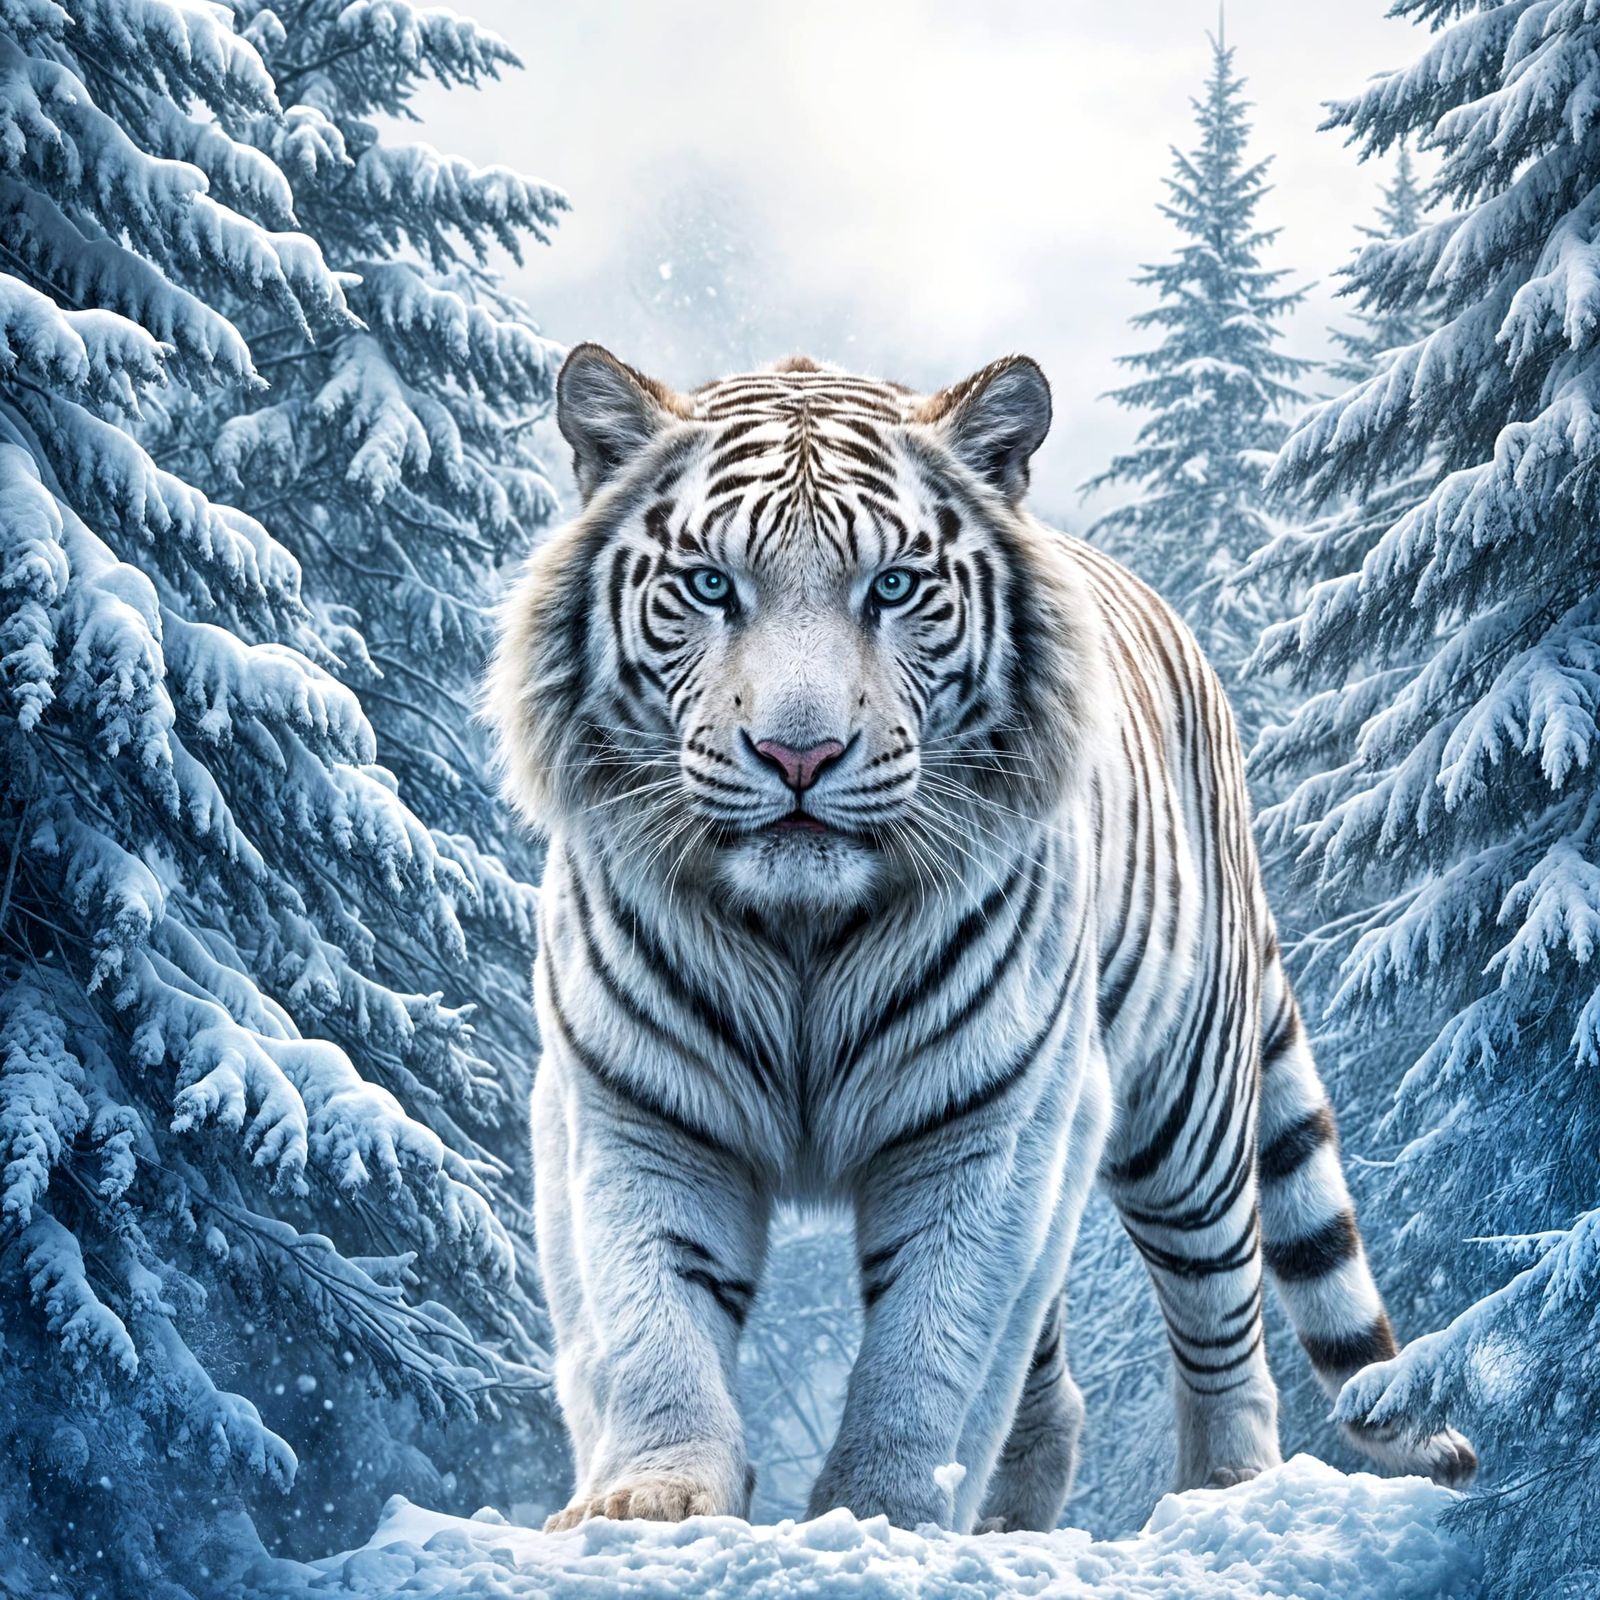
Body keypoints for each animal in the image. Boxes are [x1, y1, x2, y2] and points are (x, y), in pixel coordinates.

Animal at [487, 345, 1476, 1536]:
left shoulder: (991, 1115)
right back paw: (1015, 1517)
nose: (799, 754)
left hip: (1182, 1119)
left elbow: (931, 1341)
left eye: (893, 587)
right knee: (1052, 1369)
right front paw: (651, 1499)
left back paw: (1226, 1497)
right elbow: (650, 1314)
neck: (800, 931)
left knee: (1221, 1317)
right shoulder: (632, 1104)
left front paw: (879, 1512)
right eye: (712, 585)